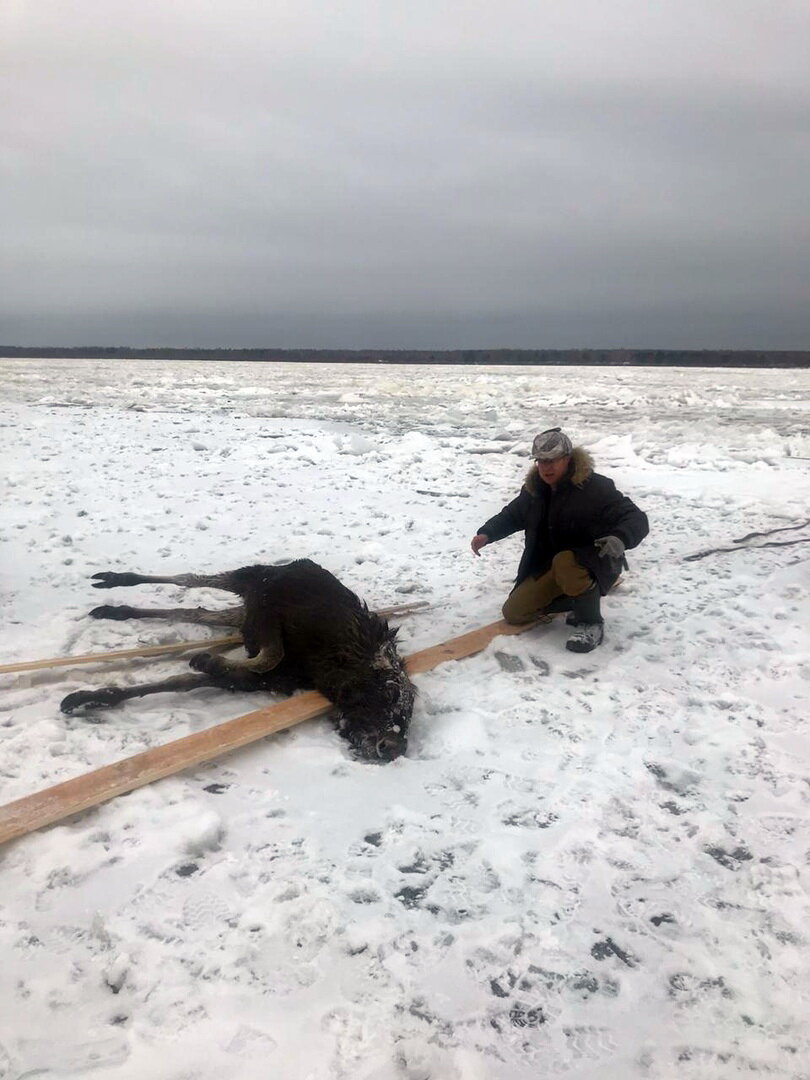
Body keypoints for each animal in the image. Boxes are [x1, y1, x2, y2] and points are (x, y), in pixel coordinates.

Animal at [61, 561, 419, 764]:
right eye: (390, 695)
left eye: (408, 712)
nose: (392, 748)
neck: (326, 665)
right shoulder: (270, 605)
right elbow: (270, 654)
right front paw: (206, 659)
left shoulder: (268, 673)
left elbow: (181, 682)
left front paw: (89, 697)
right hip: (251, 578)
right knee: (189, 578)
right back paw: (113, 580)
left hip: (241, 610)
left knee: (195, 611)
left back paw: (117, 610)